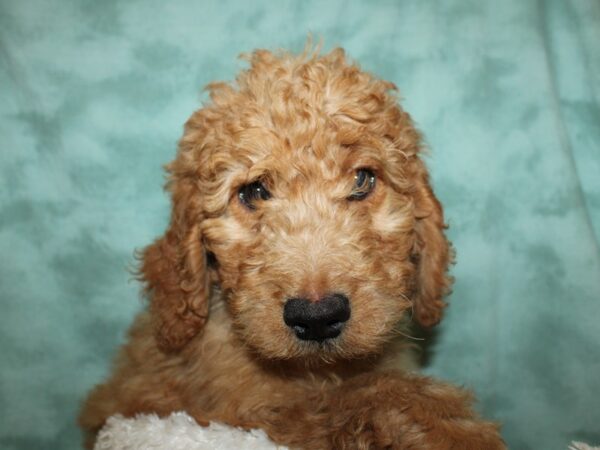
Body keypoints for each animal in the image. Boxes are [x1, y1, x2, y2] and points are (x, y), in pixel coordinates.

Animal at [78, 47, 502, 450]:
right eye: (254, 191)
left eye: (362, 180)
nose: (317, 317)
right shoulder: (239, 411)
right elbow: (349, 399)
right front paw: (453, 429)